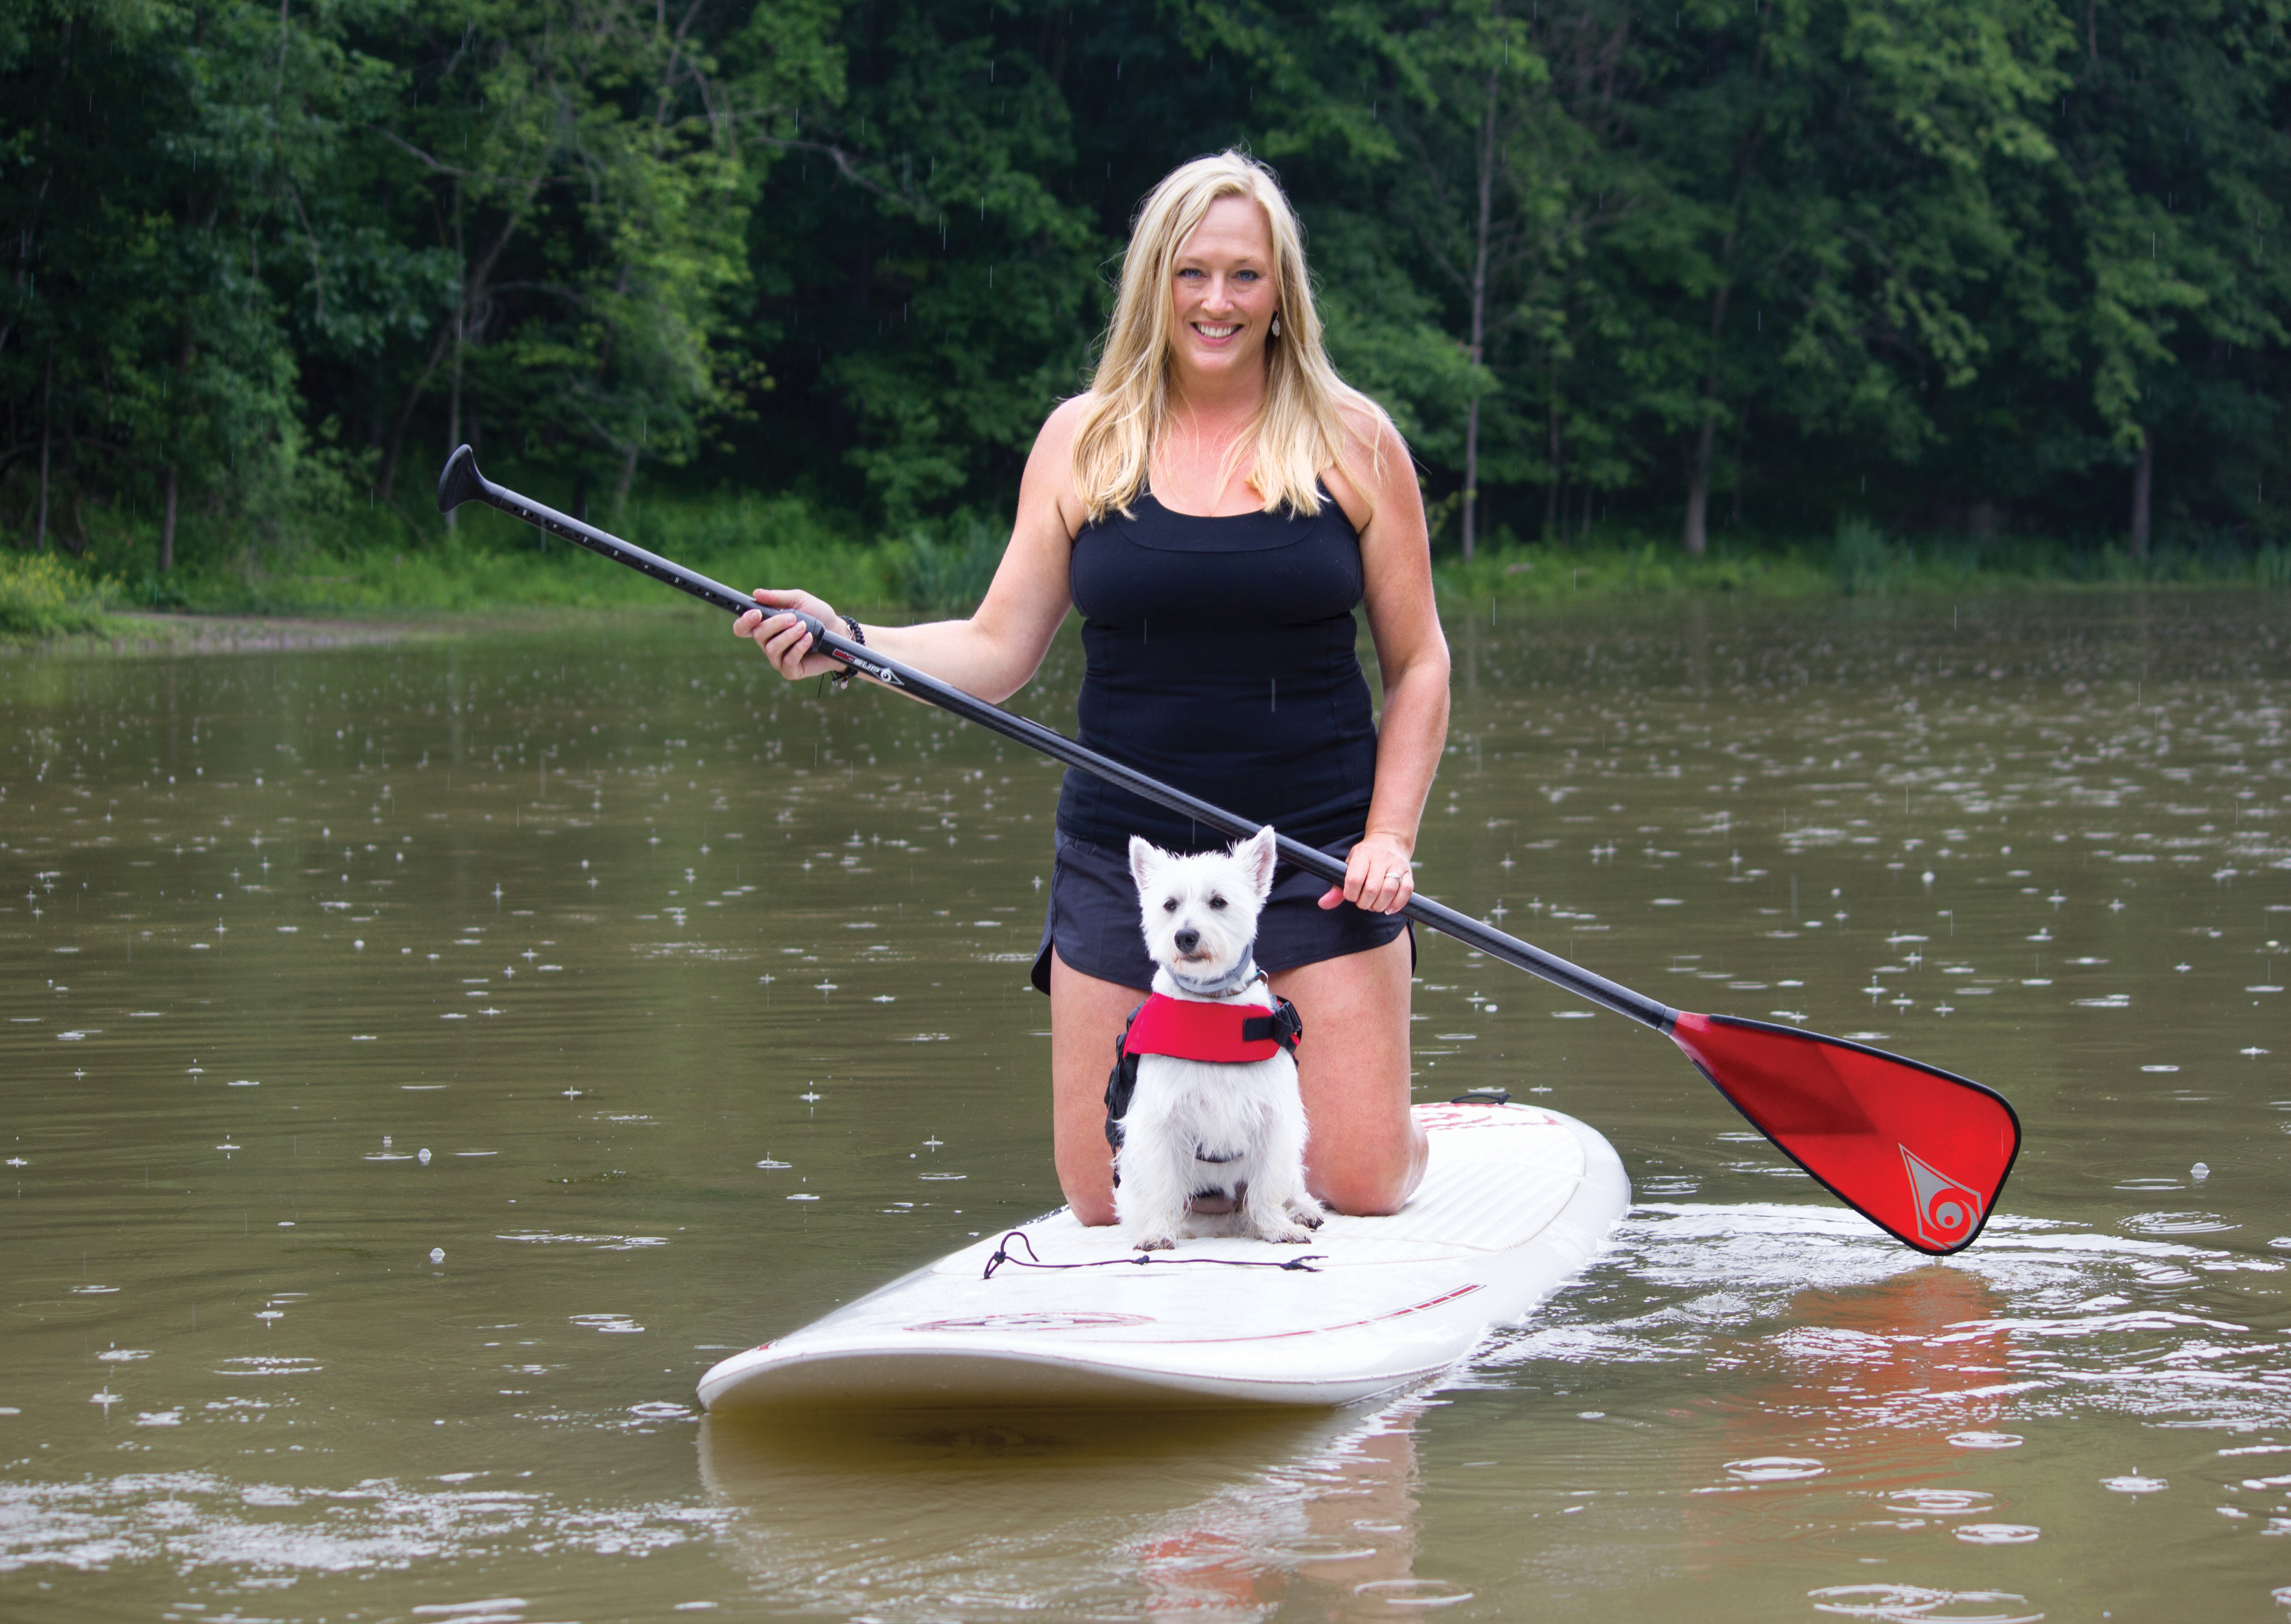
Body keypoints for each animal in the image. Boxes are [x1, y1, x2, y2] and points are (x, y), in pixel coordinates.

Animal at [1109, 829, 1329, 1246]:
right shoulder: (1160, 1120)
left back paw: (1302, 1212)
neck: (1211, 1003)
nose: (1185, 936)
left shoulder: (1274, 1116)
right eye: (1170, 905)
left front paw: (1277, 1228)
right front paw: (1158, 1232)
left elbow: (1267, 1183)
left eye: (1218, 902)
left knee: (1291, 1184)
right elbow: (1164, 1184)